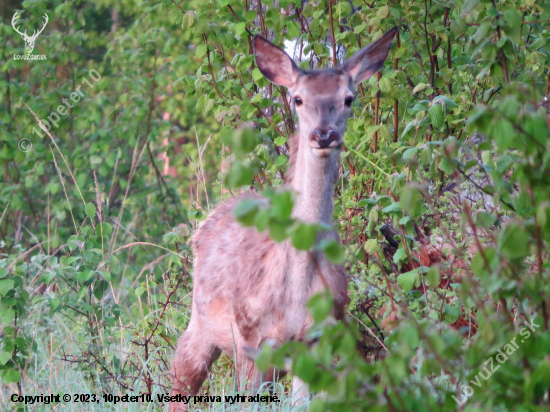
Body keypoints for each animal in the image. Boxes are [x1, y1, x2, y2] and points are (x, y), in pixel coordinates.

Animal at [170, 27, 398, 410]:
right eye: (298, 99)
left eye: (348, 98)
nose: (324, 134)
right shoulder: (252, 338)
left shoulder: (318, 338)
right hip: (202, 324)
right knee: (180, 376)